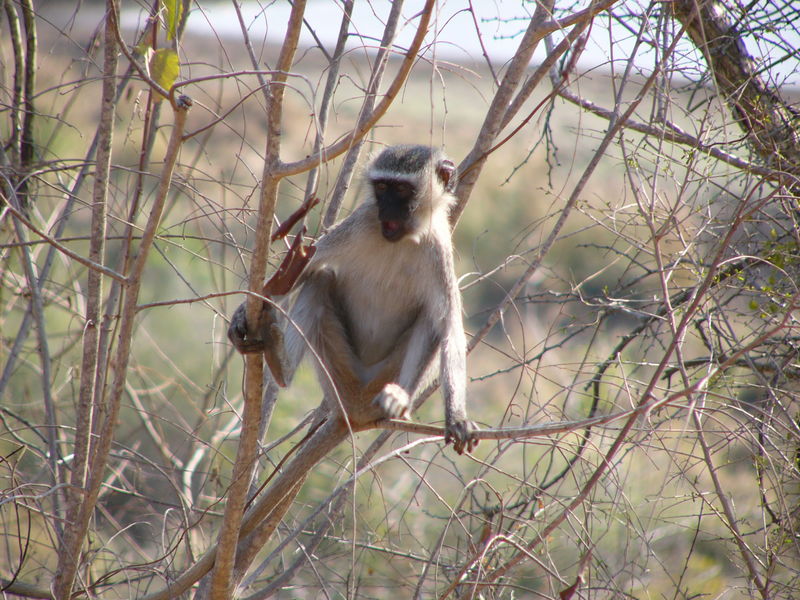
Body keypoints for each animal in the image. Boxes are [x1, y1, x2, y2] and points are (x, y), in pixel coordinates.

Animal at [231, 146, 478, 454]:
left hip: (383, 376)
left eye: (402, 190)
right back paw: (281, 366)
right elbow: (304, 269)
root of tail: (357, 409)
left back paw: (398, 400)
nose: (386, 209)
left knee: (431, 318)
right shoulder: (360, 222)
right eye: (382, 187)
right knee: (320, 279)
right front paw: (242, 315)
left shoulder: (439, 249)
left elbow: (449, 327)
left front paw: (457, 417)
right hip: (337, 374)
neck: (400, 239)